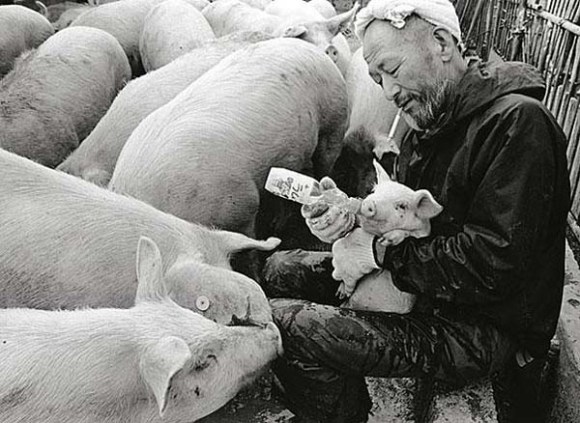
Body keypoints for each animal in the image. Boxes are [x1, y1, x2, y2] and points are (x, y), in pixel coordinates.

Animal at [336, 160, 442, 312]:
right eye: (374, 191)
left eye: (402, 206)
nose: (368, 203)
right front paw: (341, 293)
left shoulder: (423, 234)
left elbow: (408, 235)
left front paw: (386, 240)